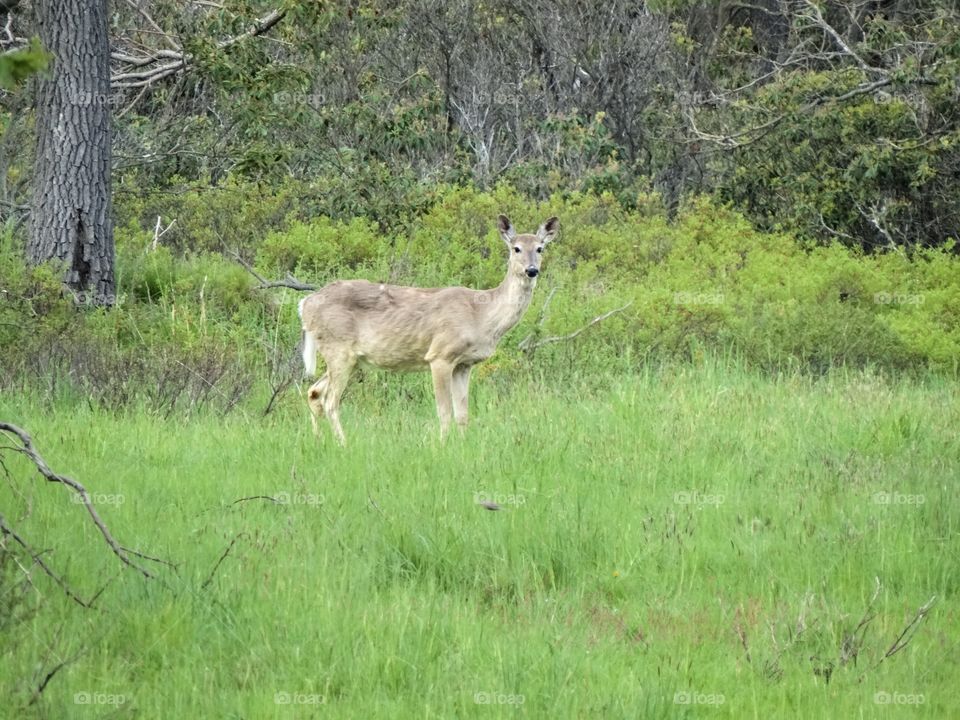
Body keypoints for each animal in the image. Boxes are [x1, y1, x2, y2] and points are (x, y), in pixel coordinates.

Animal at [297, 214, 559, 445]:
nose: (531, 270)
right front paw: (442, 447)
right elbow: (444, 412)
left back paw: (319, 442)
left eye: (540, 248)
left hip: (348, 358)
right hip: (338, 349)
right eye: (516, 248)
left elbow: (463, 414)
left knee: (314, 392)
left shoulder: (464, 364)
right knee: (330, 401)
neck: (480, 314)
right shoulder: (440, 355)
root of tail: (305, 304)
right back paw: (344, 444)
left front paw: (463, 446)